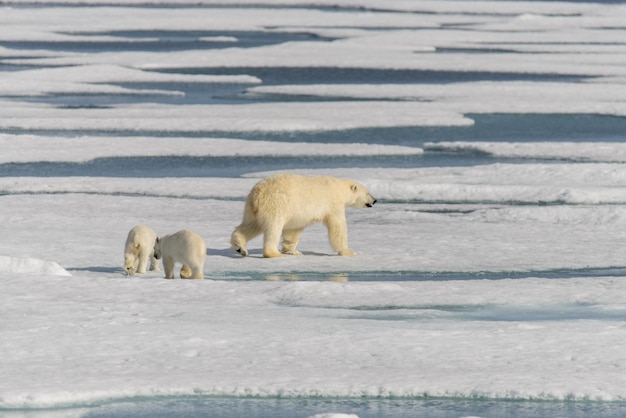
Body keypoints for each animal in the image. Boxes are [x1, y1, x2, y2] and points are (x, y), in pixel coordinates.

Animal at [230, 173, 372, 258]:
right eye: (368, 193)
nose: (374, 200)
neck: (338, 188)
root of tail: (258, 193)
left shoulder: (297, 215)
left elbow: (293, 231)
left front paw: (293, 251)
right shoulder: (333, 204)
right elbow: (338, 228)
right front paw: (349, 251)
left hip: (252, 209)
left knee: (251, 225)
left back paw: (240, 247)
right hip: (275, 204)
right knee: (273, 228)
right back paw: (274, 253)